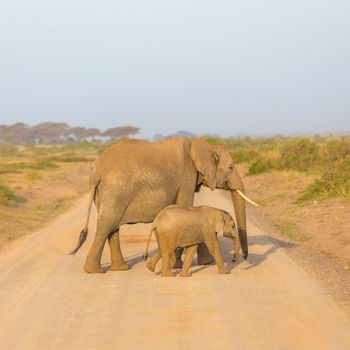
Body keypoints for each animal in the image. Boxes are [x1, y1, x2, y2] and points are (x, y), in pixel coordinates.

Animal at [71, 137, 258, 274]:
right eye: (231, 167)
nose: (241, 258)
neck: (201, 145)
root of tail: (96, 170)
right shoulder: (187, 176)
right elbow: (186, 206)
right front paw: (183, 265)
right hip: (115, 190)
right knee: (107, 225)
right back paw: (95, 271)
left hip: (105, 193)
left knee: (112, 227)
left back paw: (120, 269)